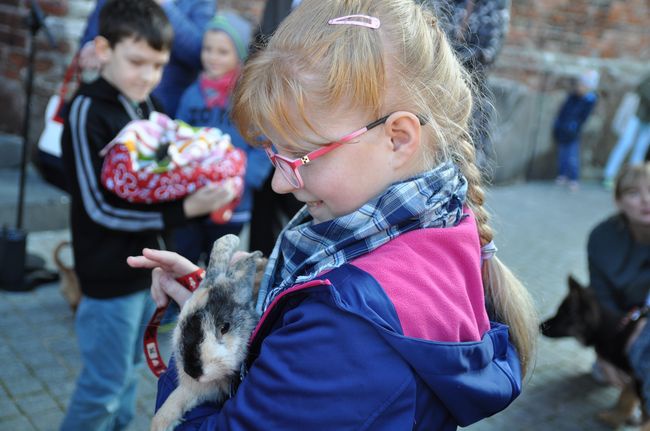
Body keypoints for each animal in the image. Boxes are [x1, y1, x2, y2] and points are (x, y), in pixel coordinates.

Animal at [540, 276, 644, 428]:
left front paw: (614, 418)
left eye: (563, 313)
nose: (539, 326)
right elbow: (627, 398)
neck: (615, 331)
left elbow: (625, 398)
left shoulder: (636, 377)